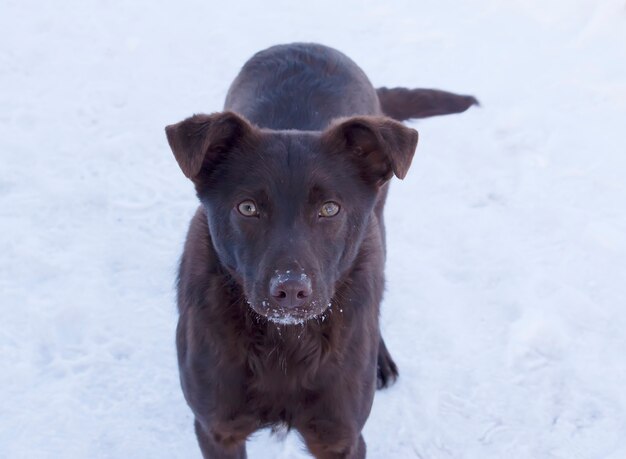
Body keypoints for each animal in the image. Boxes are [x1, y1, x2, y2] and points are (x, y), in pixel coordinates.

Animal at [163, 41, 476, 458]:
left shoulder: (340, 437)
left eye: (330, 209)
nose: (291, 290)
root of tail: (306, 44)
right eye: (247, 208)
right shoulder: (217, 430)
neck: (285, 343)